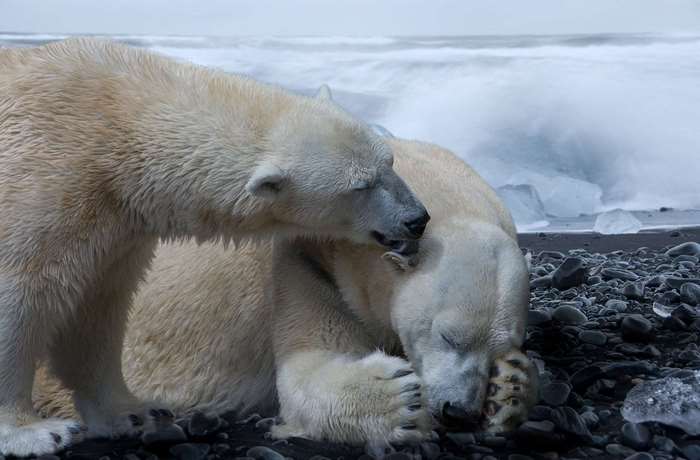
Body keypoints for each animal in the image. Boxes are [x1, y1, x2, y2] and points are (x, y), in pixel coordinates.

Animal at [0, 41, 428, 457]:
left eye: (389, 162)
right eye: (360, 186)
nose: (417, 218)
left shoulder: (114, 226)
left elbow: (96, 309)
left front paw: (133, 412)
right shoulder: (43, 183)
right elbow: (18, 298)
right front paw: (33, 433)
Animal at [34, 114, 537, 446]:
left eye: (503, 344)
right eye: (447, 335)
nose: (458, 411)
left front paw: (509, 388)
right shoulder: (306, 263)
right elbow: (308, 367)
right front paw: (400, 400)